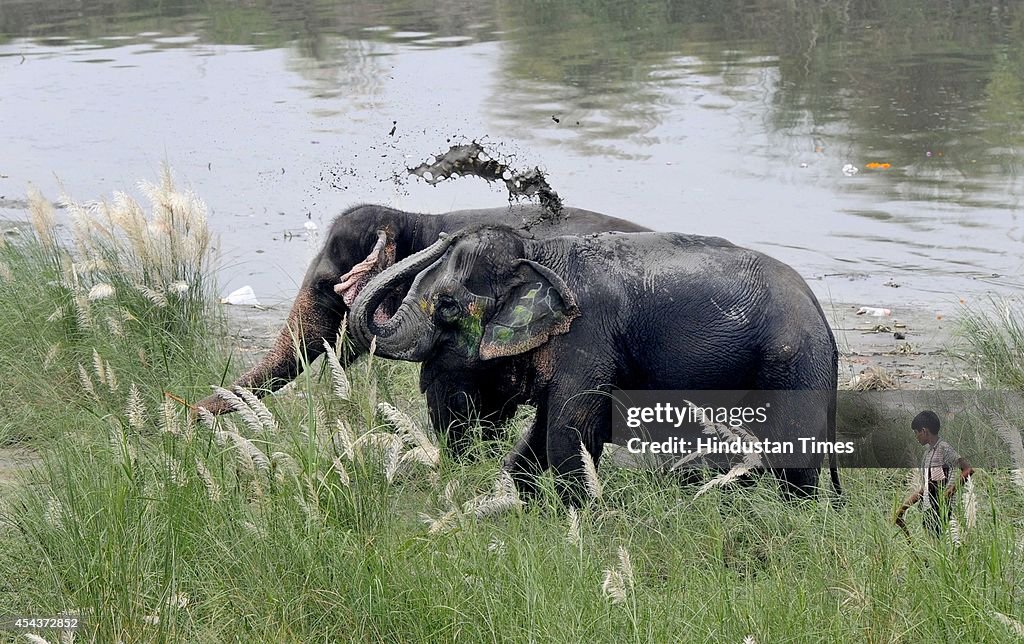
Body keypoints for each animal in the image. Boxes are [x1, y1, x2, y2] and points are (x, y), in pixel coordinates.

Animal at [348, 225, 843, 501]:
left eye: (447, 306)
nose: (443, 234)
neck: (539, 251)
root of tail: (821, 316)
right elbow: (538, 440)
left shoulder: (588, 340)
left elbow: (568, 438)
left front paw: (581, 519)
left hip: (794, 365)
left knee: (794, 461)